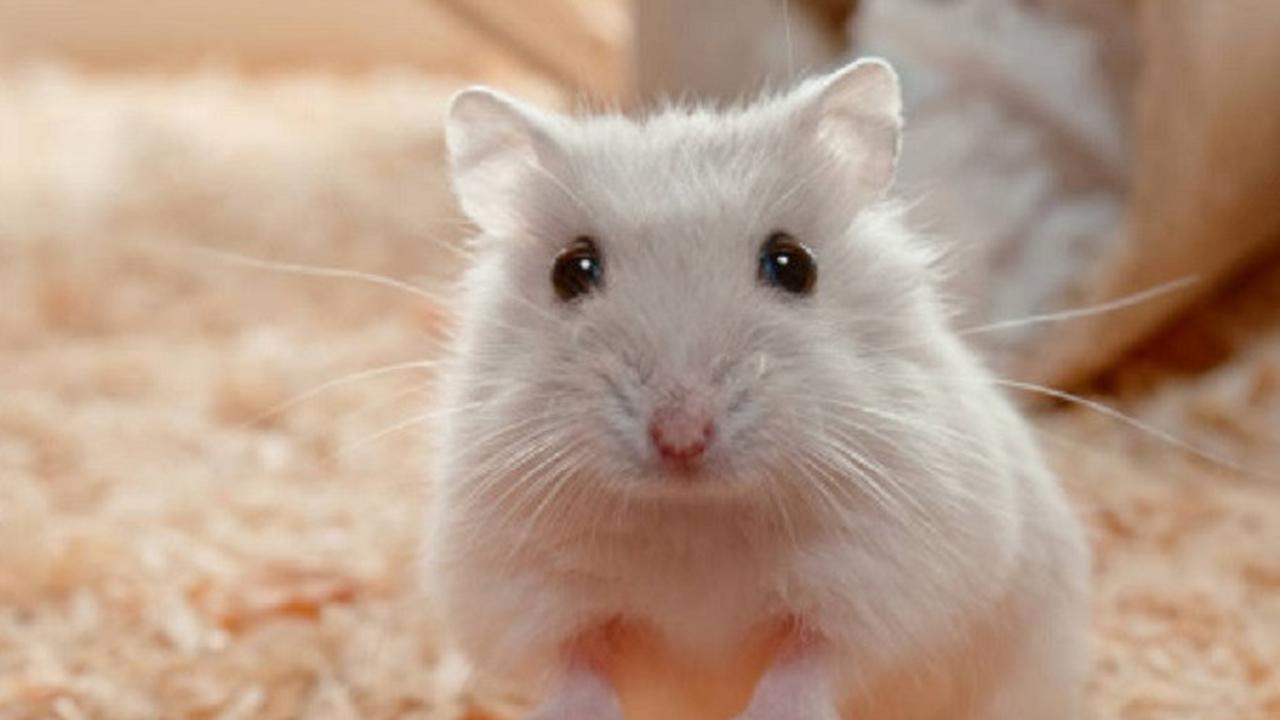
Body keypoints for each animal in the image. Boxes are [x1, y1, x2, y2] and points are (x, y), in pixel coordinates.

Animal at [425, 58, 1090, 720]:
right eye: (572, 270)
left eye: (793, 264)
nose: (682, 437)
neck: (696, 518)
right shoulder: (524, 590)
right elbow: (575, 666)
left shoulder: (885, 581)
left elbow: (810, 662)